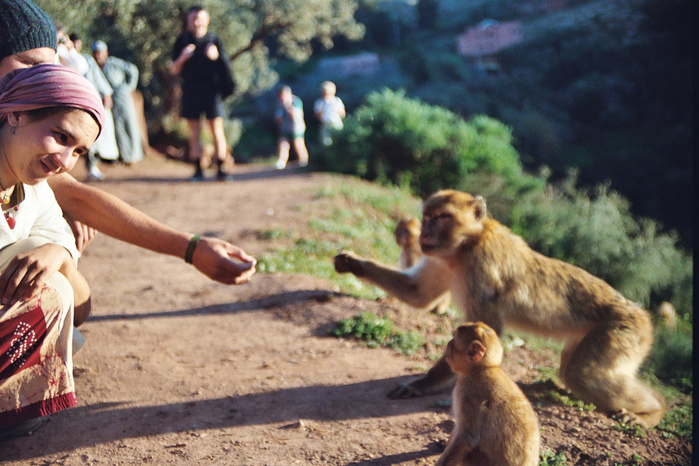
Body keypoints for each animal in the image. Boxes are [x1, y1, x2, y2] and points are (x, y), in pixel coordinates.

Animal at [336, 188, 664, 426]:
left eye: (441, 217)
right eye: (427, 216)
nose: (425, 233)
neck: (465, 245)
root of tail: (644, 317)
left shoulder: (481, 265)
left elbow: (485, 329)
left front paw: (426, 382)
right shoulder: (441, 259)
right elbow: (418, 294)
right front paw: (352, 263)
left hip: (623, 331)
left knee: (581, 372)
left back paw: (653, 412)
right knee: (575, 368)